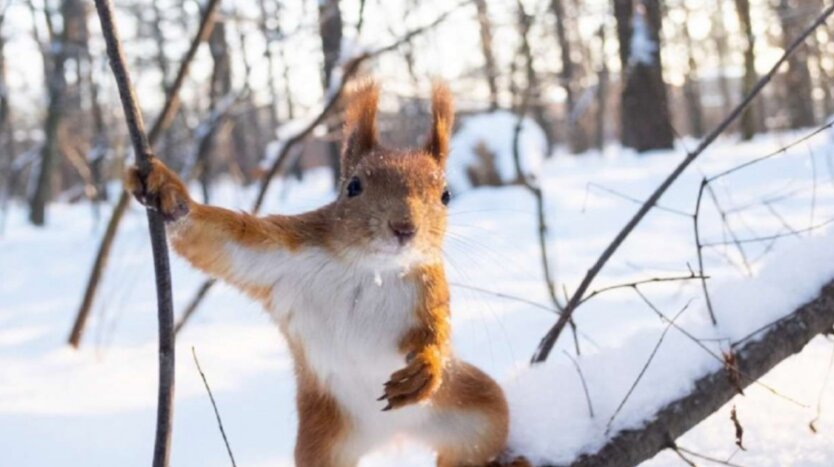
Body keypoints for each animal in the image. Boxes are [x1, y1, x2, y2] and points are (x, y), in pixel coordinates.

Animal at [127, 81, 524, 467]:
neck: (371, 268)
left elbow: (436, 332)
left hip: (477, 413)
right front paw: (169, 193)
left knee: (467, 450)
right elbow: (216, 241)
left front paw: (426, 369)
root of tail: (391, 434)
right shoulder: (281, 253)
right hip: (324, 438)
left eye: (446, 195)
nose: (404, 228)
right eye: (353, 186)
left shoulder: (429, 288)